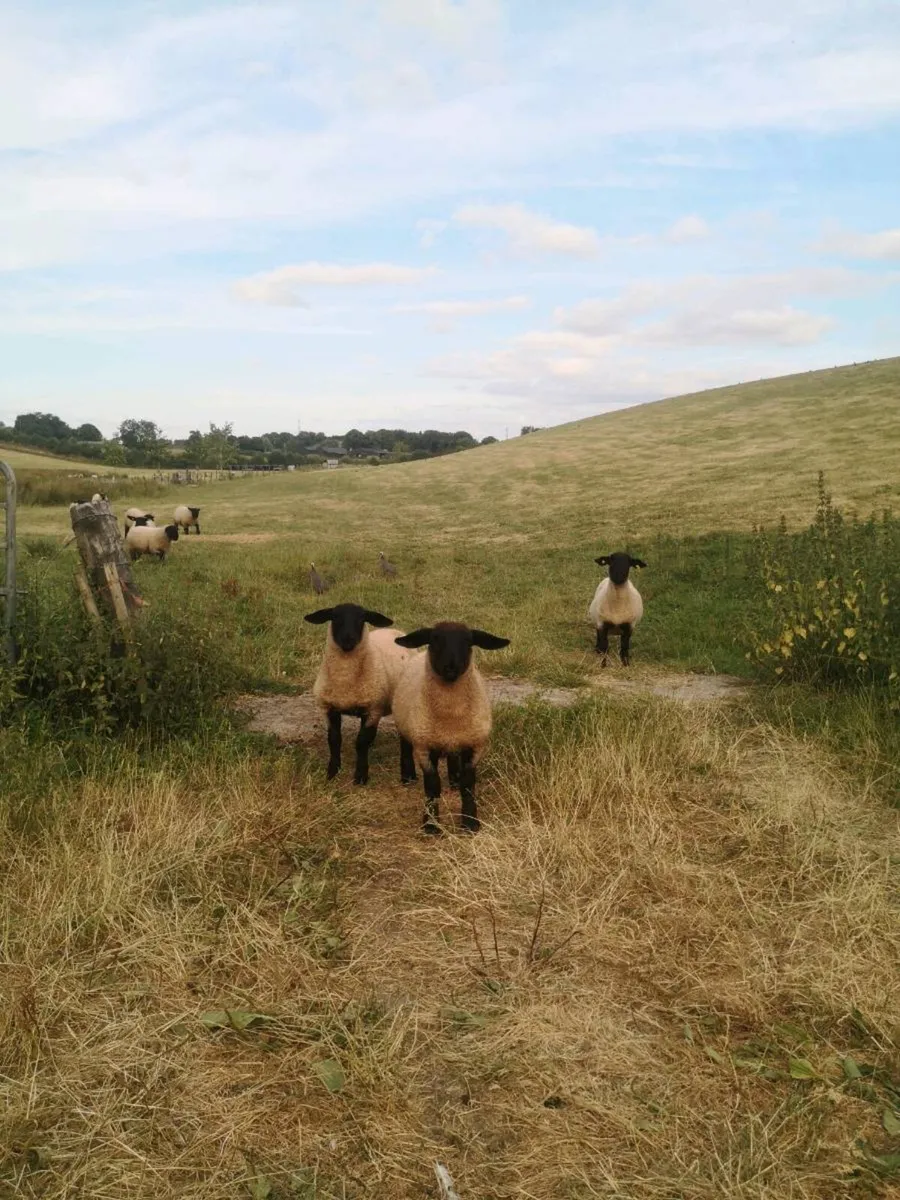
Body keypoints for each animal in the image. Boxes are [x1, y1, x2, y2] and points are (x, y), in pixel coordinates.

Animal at [304, 603, 413, 786]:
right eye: (335, 617)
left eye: (362, 618)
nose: (348, 640)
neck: (345, 681)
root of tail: (395, 631)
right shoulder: (329, 708)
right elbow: (334, 740)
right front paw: (332, 772)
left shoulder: (372, 709)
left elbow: (360, 743)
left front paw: (361, 776)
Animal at [392, 622, 510, 835]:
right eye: (434, 639)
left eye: (468, 641)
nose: (451, 667)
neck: (450, 716)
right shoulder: (424, 746)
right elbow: (432, 785)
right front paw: (431, 824)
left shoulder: (474, 745)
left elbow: (468, 785)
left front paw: (470, 822)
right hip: (405, 724)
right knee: (405, 748)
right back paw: (408, 777)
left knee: (453, 759)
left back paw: (454, 778)